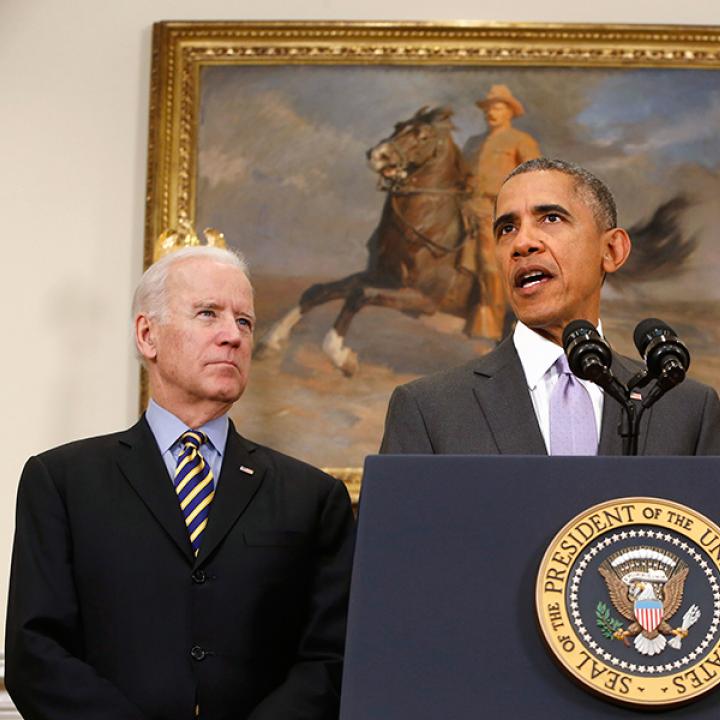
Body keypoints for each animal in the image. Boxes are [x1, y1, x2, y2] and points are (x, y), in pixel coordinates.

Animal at [256, 108, 480, 376]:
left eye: (423, 136)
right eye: (398, 126)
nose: (377, 155)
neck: (431, 230)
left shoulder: (425, 299)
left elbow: (360, 294)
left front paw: (341, 356)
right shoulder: (386, 278)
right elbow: (322, 290)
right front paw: (271, 340)